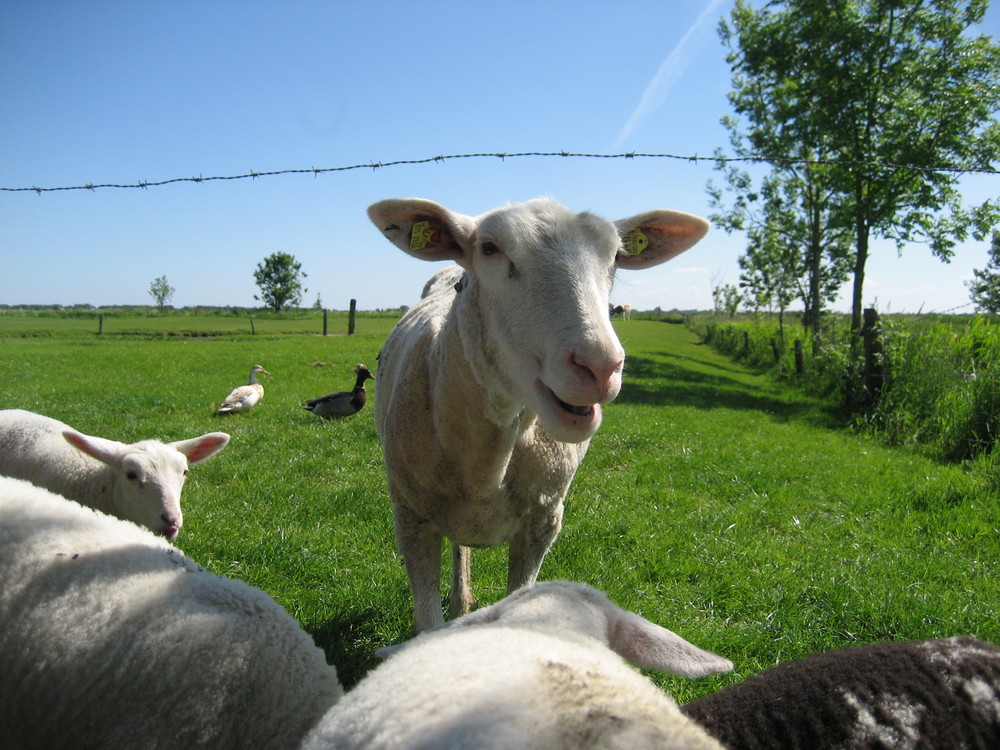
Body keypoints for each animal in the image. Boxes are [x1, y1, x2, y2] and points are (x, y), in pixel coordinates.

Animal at [370, 198, 712, 636]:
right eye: (490, 248)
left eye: (617, 256)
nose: (601, 366)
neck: (486, 467)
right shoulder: (411, 520)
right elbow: (428, 622)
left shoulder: (544, 521)